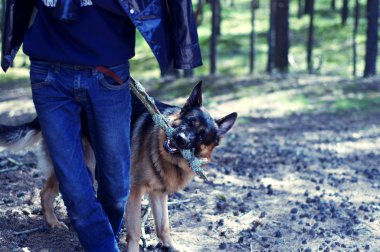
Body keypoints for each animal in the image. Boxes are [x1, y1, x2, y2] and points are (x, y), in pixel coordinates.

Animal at [0, 81, 238, 251]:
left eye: (201, 135)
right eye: (188, 122)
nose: (179, 139)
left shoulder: (158, 193)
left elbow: (163, 227)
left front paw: (171, 247)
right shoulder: (134, 192)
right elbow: (135, 231)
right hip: (76, 163)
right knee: (45, 193)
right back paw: (53, 223)